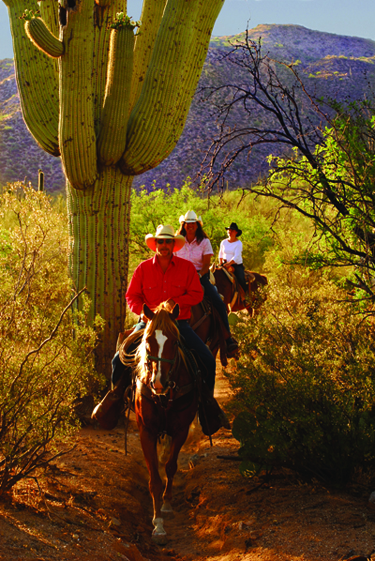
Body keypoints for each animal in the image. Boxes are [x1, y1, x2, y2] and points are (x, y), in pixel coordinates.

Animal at [134, 302, 200, 544]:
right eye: (148, 340)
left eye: (174, 341)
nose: (159, 382)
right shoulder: (146, 432)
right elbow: (154, 479)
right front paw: (157, 523)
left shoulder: (181, 430)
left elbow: (171, 467)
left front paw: (167, 505)